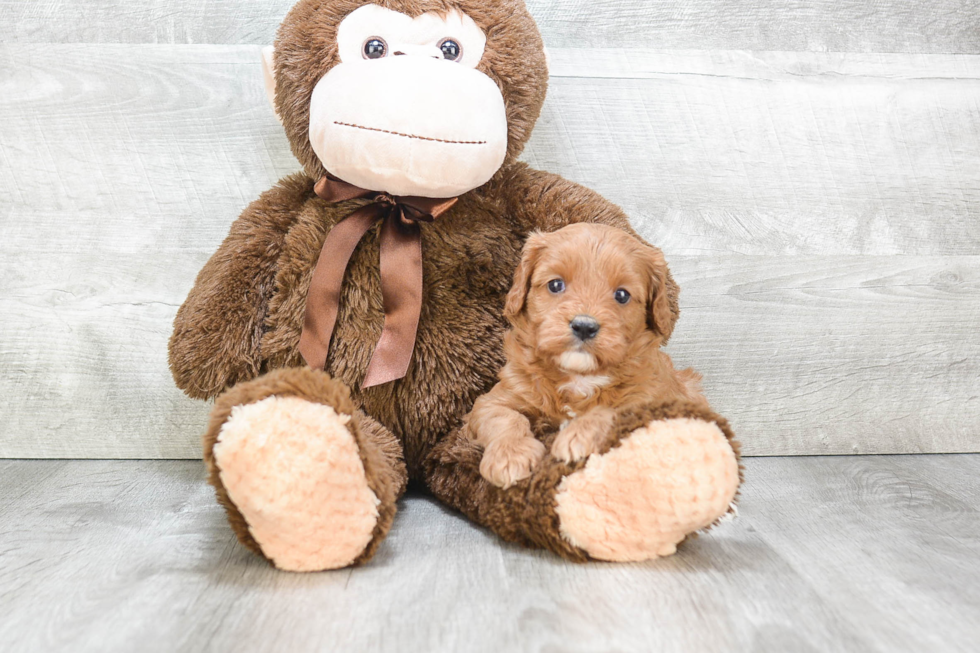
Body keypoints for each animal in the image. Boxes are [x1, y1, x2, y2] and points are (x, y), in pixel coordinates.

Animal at [468, 222, 704, 486]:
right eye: (555, 285)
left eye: (622, 295)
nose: (584, 326)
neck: (578, 376)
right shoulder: (496, 398)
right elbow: (502, 416)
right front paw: (510, 455)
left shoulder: (655, 400)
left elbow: (613, 411)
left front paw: (578, 435)